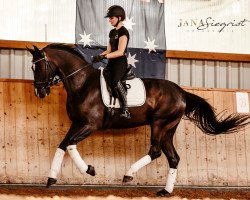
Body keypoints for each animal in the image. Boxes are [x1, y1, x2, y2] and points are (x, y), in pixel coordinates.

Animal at [27, 44, 250, 197]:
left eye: (39, 67)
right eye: (32, 68)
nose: (39, 92)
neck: (82, 83)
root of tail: (181, 92)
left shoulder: (91, 125)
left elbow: (71, 145)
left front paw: (89, 170)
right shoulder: (77, 123)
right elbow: (62, 145)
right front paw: (51, 178)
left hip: (159, 124)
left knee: (155, 151)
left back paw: (129, 174)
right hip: (168, 129)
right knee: (173, 158)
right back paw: (165, 191)